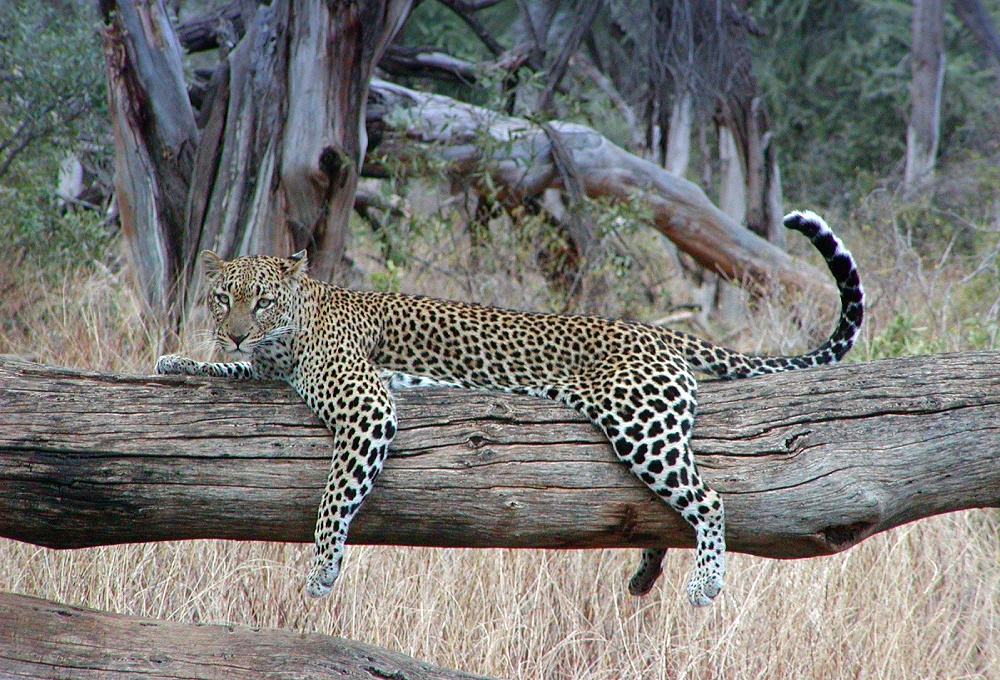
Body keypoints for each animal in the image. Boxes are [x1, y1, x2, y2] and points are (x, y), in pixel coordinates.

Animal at [154, 211, 860, 604]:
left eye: (262, 301)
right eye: (222, 298)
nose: (234, 332)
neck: (292, 331)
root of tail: (656, 330)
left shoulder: (368, 406)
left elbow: (335, 496)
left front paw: (323, 569)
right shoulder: (265, 369)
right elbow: (231, 370)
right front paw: (183, 361)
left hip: (637, 422)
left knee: (709, 499)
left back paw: (704, 585)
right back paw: (644, 578)